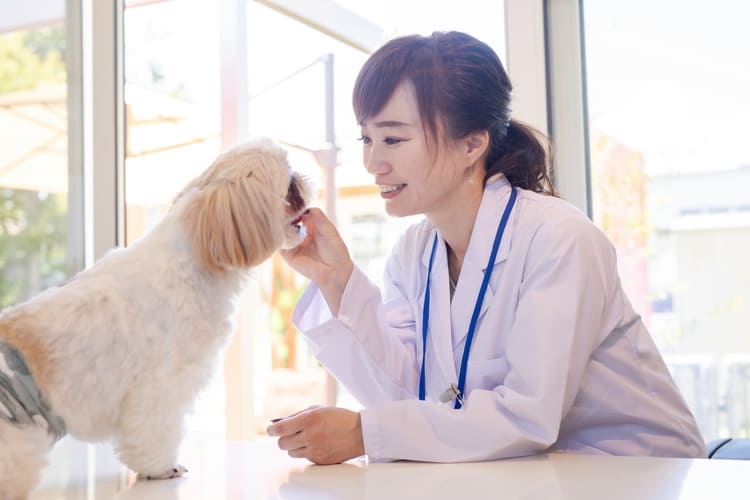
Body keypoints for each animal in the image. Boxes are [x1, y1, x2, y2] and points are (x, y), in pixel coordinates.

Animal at [0, 138, 314, 500]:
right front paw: (162, 468)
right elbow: (156, 431)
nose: (305, 178)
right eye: (290, 184)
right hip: (18, 437)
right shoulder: (161, 386)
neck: (194, 258)